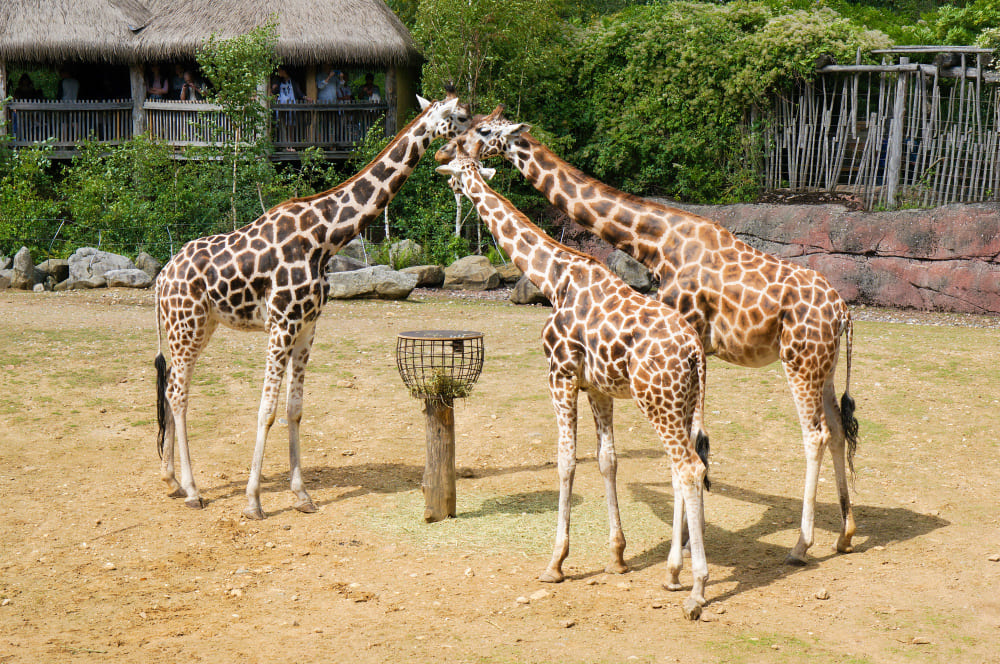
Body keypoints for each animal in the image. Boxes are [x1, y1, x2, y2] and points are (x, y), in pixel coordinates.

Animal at [153, 94, 472, 520]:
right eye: (462, 117)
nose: (476, 138)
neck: (326, 236)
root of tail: (161, 278)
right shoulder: (281, 324)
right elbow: (266, 410)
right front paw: (253, 502)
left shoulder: (307, 326)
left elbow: (294, 409)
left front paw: (302, 495)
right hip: (186, 324)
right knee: (177, 393)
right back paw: (192, 490)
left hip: (199, 326)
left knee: (171, 384)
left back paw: (171, 480)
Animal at [438, 109, 860, 564]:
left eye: (481, 130)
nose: (445, 152)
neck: (655, 242)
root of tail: (843, 312)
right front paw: (689, 540)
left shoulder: (689, 331)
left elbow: (691, 446)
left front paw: (687, 544)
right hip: (825, 365)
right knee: (837, 431)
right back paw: (845, 534)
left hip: (799, 362)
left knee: (813, 435)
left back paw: (801, 544)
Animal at [438, 143, 712, 620]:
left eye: (456, 167)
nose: (449, 181)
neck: (554, 276)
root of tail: (695, 352)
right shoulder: (599, 388)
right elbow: (607, 460)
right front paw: (617, 557)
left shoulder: (559, 375)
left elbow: (565, 461)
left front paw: (555, 563)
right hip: (681, 403)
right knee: (682, 469)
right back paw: (672, 574)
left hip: (657, 400)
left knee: (690, 469)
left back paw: (696, 590)